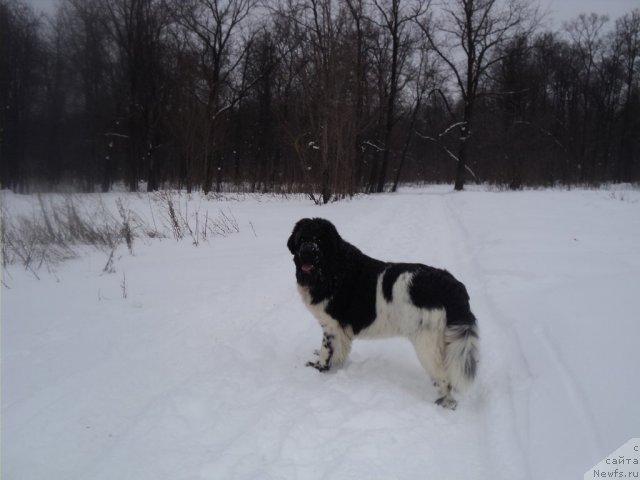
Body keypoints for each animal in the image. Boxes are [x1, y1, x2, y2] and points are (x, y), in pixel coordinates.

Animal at [288, 218, 478, 408]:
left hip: (427, 342)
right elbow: (339, 350)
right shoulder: (341, 330)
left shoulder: (332, 325)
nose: (307, 252)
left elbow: (326, 349)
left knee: (443, 376)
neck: (332, 269)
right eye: (302, 238)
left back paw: (444, 404)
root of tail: (452, 284)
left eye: (319, 240)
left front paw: (319, 367)